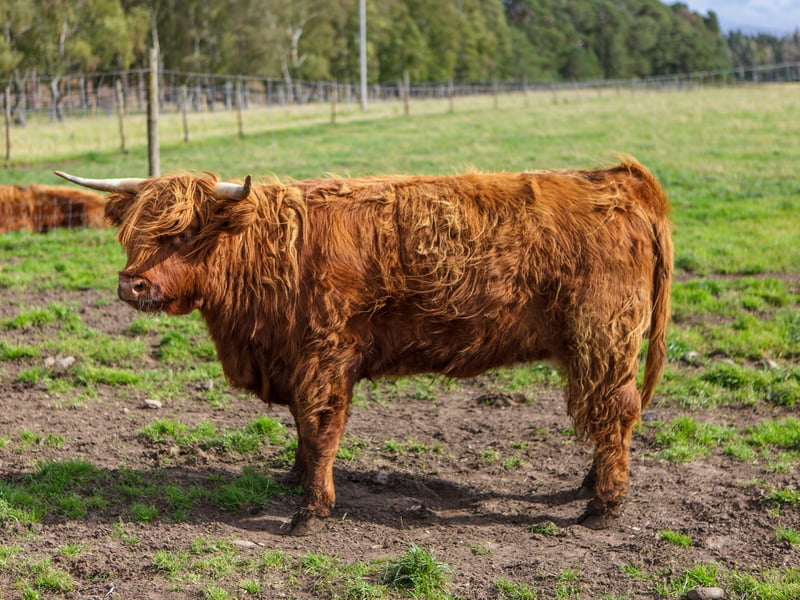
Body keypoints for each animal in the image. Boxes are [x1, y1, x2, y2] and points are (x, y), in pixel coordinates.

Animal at [55, 158, 673, 535]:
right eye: (132, 231)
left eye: (183, 232)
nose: (131, 285)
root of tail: (622, 180)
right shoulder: (295, 361)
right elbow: (303, 428)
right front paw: (294, 477)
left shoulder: (325, 357)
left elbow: (322, 428)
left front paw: (311, 510)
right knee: (605, 416)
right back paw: (591, 483)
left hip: (604, 338)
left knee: (615, 412)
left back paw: (602, 505)